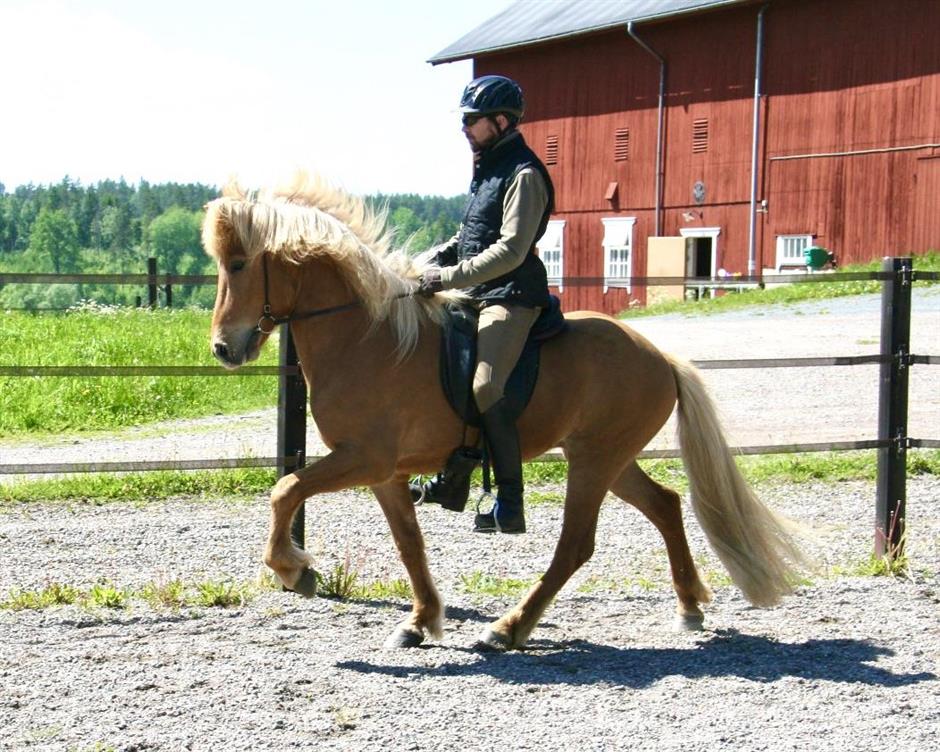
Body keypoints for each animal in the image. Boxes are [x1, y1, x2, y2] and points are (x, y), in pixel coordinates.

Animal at [202, 173, 807, 651]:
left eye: (239, 263)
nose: (224, 349)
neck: (368, 337)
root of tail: (660, 356)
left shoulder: (364, 459)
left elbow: (285, 490)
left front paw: (294, 570)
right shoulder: (385, 473)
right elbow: (409, 543)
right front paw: (420, 621)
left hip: (594, 461)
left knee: (575, 545)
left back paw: (508, 629)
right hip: (608, 458)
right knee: (665, 505)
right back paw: (688, 607)